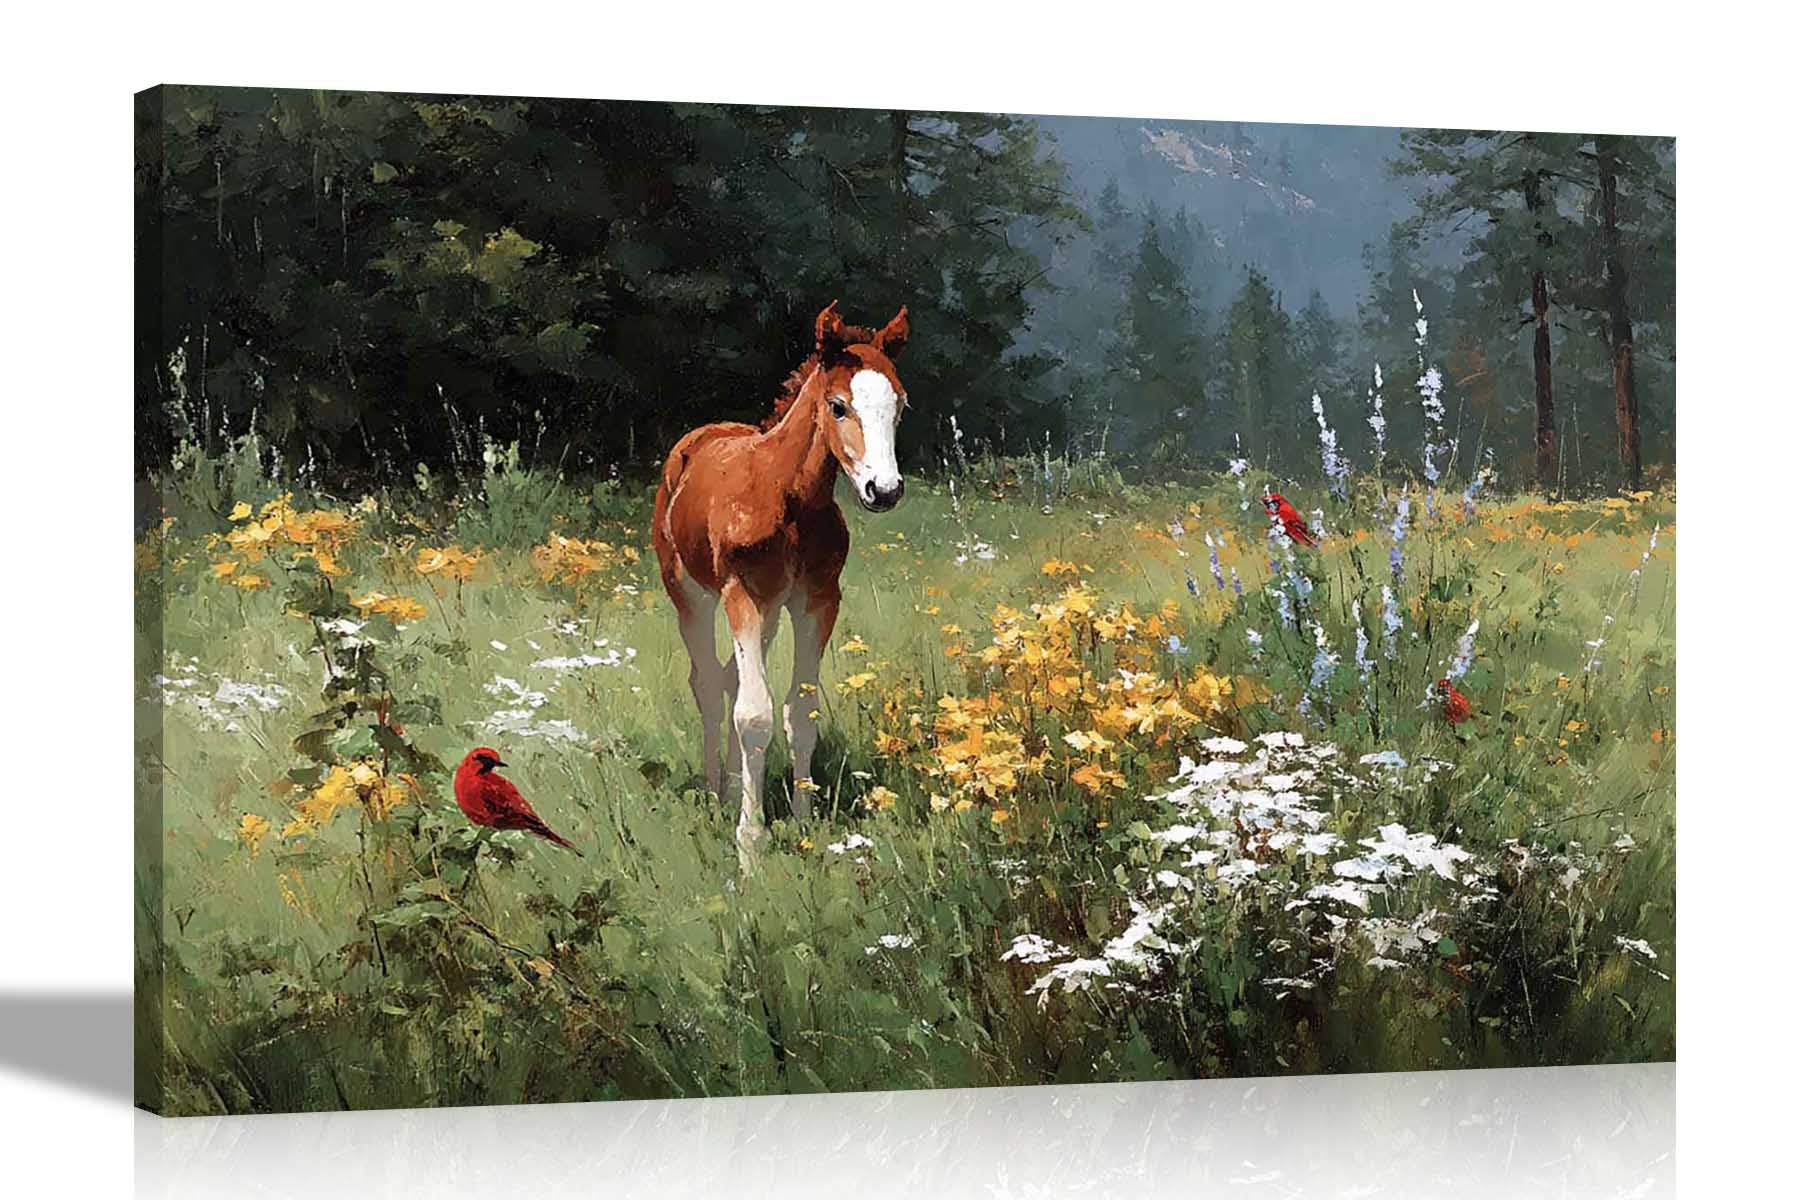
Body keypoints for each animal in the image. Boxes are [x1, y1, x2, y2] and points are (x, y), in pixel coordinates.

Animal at [652, 300, 910, 852]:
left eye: (899, 406)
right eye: (838, 405)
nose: (884, 489)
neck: (787, 497)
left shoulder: (818, 600)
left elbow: (798, 712)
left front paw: (804, 822)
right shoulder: (741, 595)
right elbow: (754, 716)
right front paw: (750, 841)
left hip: (769, 611)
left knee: (731, 679)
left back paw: (731, 789)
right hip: (691, 593)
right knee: (709, 685)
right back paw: (715, 796)